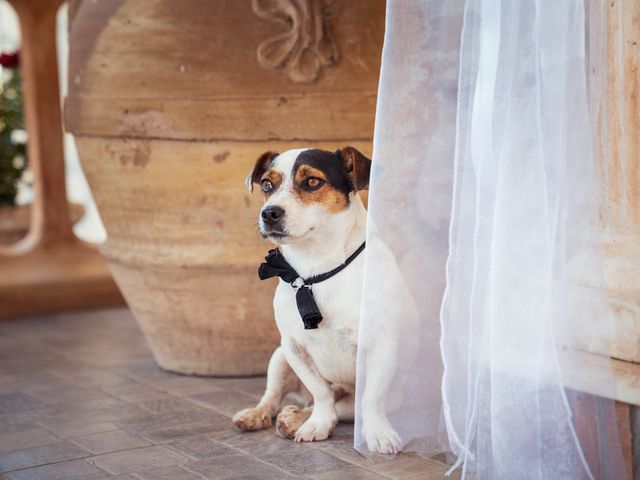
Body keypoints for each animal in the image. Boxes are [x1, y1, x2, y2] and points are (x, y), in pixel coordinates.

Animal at [232, 146, 402, 454]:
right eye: (267, 185)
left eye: (312, 181)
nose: (269, 212)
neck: (316, 270)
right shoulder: (293, 347)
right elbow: (320, 393)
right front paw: (317, 424)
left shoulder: (382, 345)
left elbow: (371, 399)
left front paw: (379, 434)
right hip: (278, 358)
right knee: (277, 396)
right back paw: (263, 415)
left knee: (343, 405)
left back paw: (293, 418)